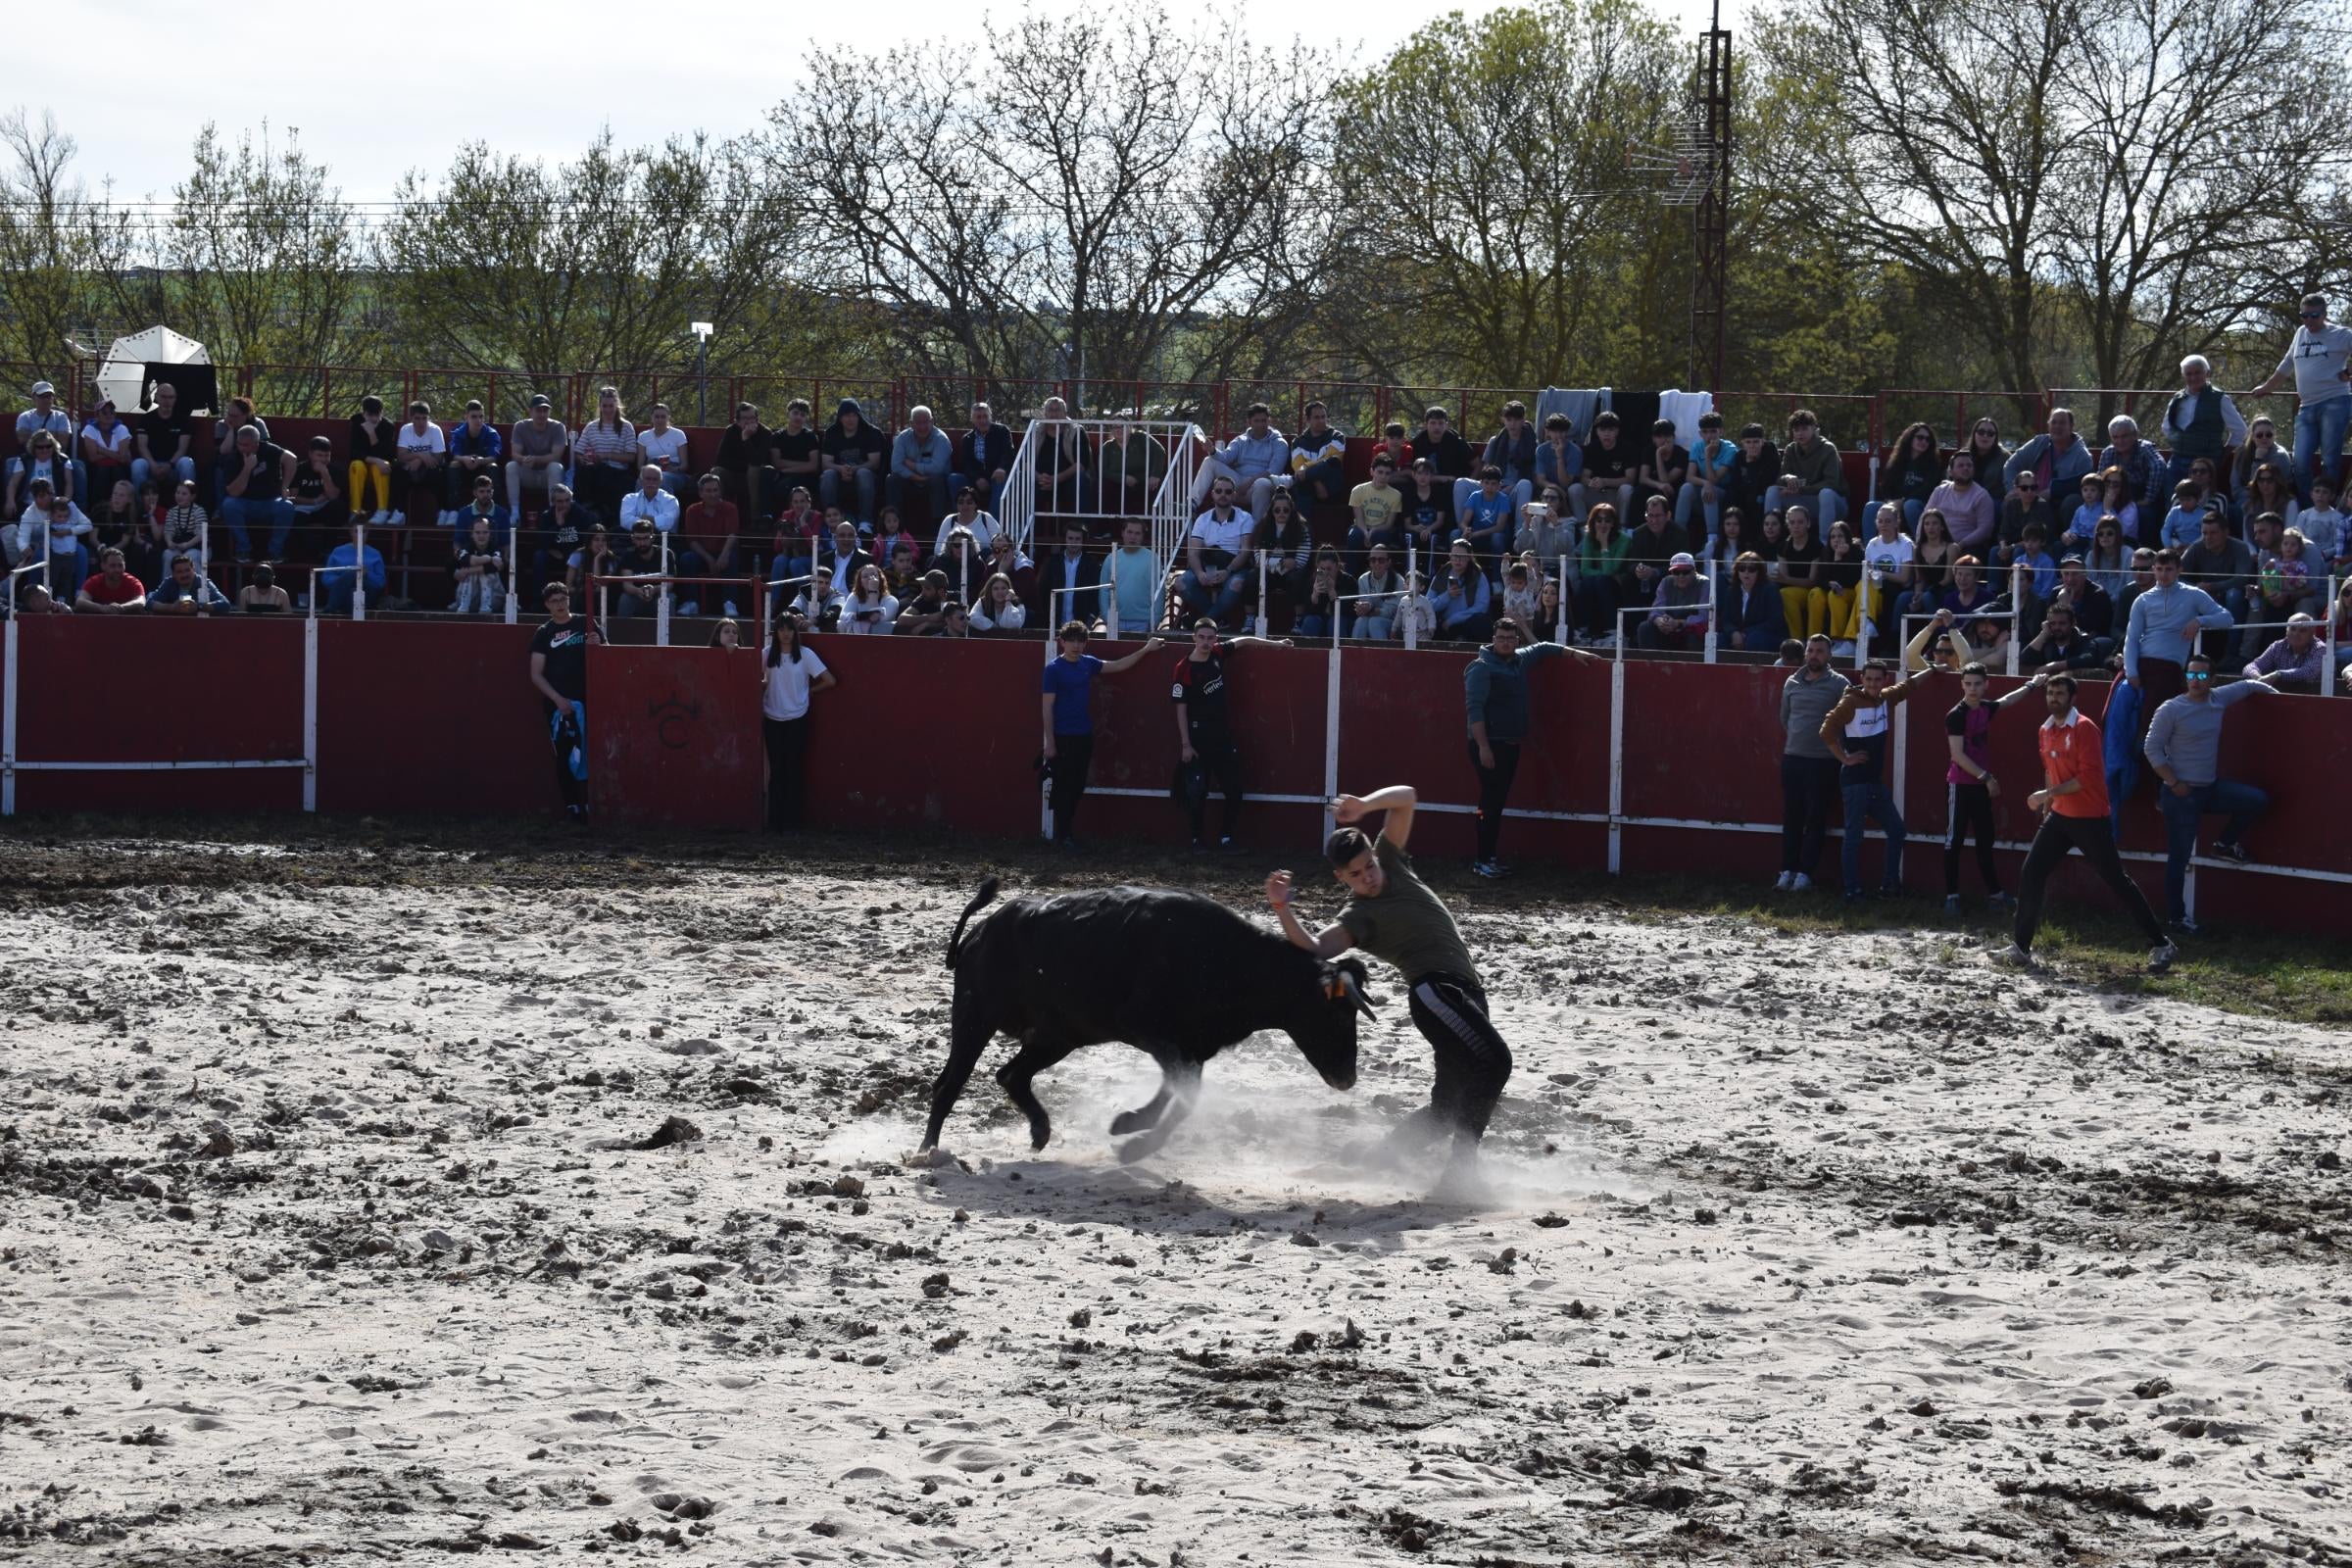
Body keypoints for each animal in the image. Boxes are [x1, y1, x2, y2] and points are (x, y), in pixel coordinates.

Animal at [917, 879, 1373, 1161]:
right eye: (1336, 1015)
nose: (1347, 1079)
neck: (1231, 959)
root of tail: (978, 933)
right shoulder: (1145, 1028)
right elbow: (1181, 1092)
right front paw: (1131, 1132)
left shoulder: (1193, 1048)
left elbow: (1181, 1095)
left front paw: (1130, 1132)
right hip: (975, 1018)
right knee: (949, 1085)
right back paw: (927, 1152)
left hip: (1056, 1037)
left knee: (1011, 1075)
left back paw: (1040, 1132)